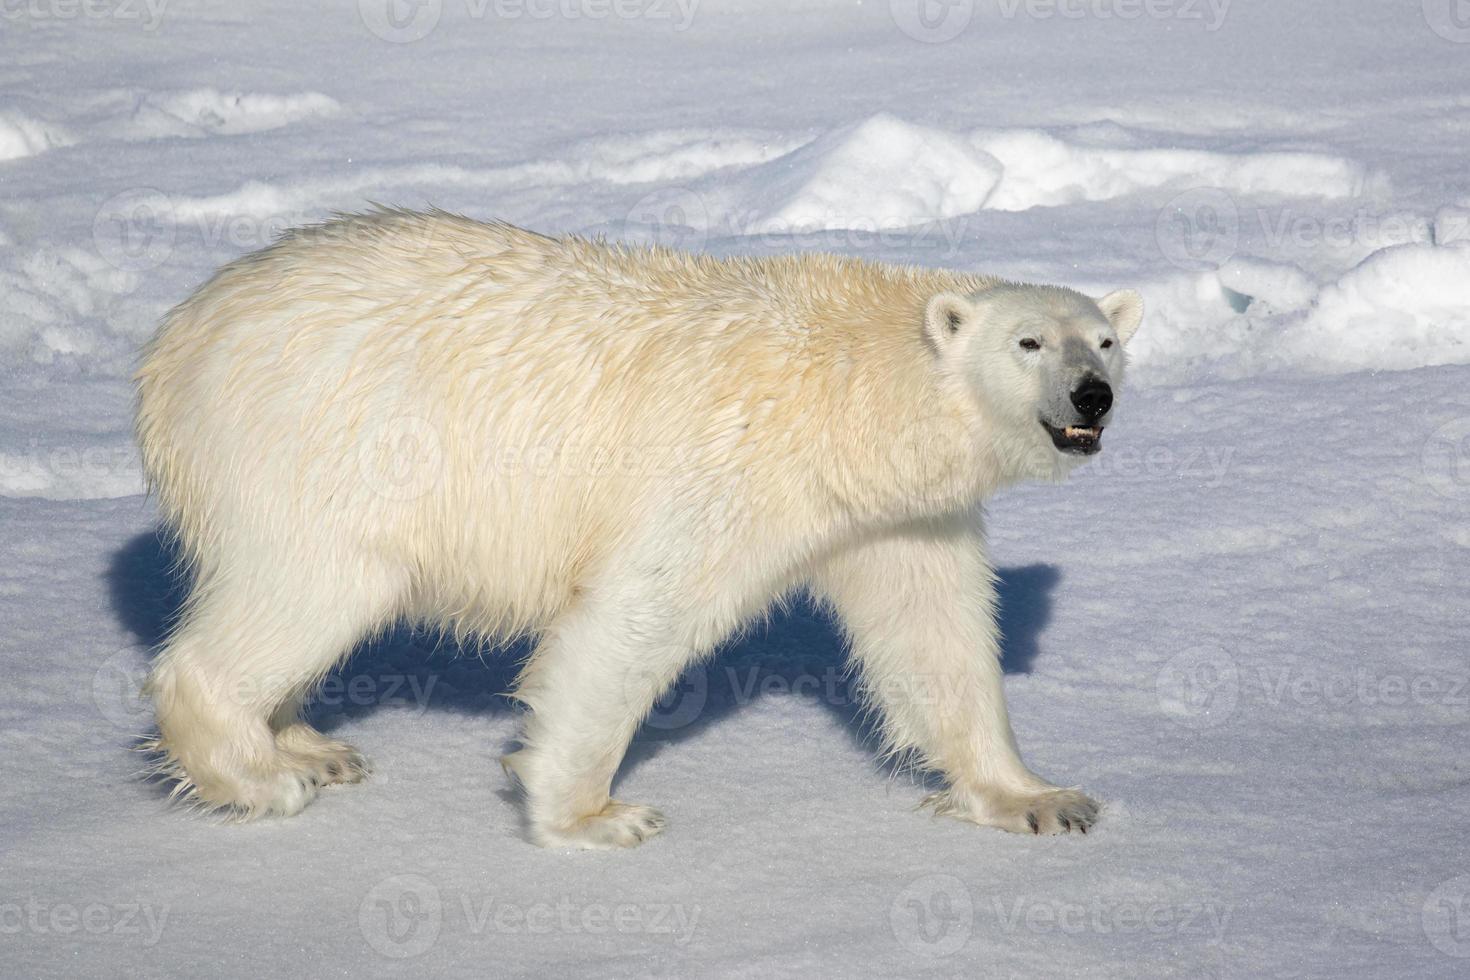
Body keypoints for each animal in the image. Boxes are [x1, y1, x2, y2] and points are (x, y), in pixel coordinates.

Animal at [135, 208, 1146, 852]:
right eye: (1026, 342)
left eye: (1104, 341)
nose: (1091, 397)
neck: (848, 388)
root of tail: (174, 345)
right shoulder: (730, 473)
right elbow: (636, 617)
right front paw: (593, 816)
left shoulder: (896, 516)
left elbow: (934, 636)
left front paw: (1038, 799)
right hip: (326, 449)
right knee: (311, 589)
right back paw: (260, 775)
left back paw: (311, 743)